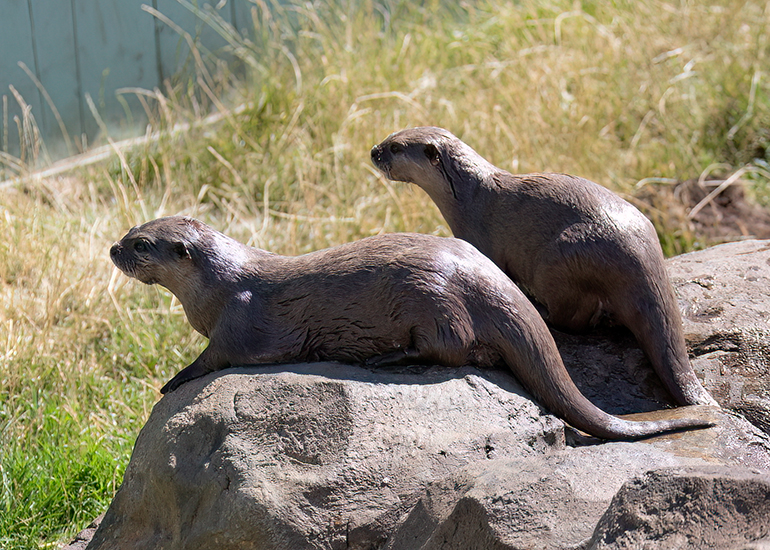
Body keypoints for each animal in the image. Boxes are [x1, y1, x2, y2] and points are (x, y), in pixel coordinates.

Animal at [110, 216, 712, 440]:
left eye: (142, 245)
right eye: (134, 229)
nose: (112, 249)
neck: (217, 286)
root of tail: (486, 279)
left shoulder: (241, 322)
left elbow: (214, 359)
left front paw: (173, 379)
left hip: (431, 299)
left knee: (455, 351)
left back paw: (385, 358)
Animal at [371, 126, 716, 407]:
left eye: (396, 147)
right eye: (390, 136)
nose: (373, 151)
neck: (469, 198)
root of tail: (640, 252)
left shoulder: (480, 240)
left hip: (560, 259)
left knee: (573, 319)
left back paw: (542, 310)